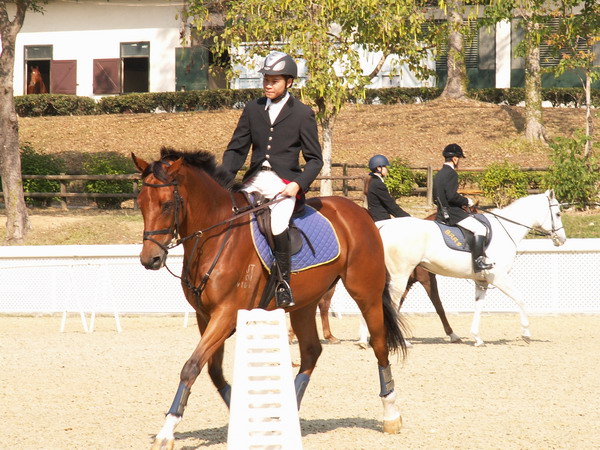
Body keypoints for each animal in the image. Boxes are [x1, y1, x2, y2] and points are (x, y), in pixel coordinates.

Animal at [132, 149, 408, 448]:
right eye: (140, 203)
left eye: (167, 205)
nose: (150, 260)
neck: (215, 237)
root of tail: (358, 211)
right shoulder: (205, 317)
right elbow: (213, 370)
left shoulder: (226, 314)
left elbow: (191, 366)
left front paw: (166, 432)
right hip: (304, 304)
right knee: (311, 352)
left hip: (366, 294)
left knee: (379, 345)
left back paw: (391, 415)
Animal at [378, 188, 564, 346]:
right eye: (558, 213)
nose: (562, 239)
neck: (506, 230)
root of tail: (384, 226)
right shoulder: (500, 277)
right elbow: (520, 299)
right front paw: (526, 334)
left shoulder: (482, 281)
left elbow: (478, 305)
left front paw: (477, 337)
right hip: (401, 276)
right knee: (393, 304)